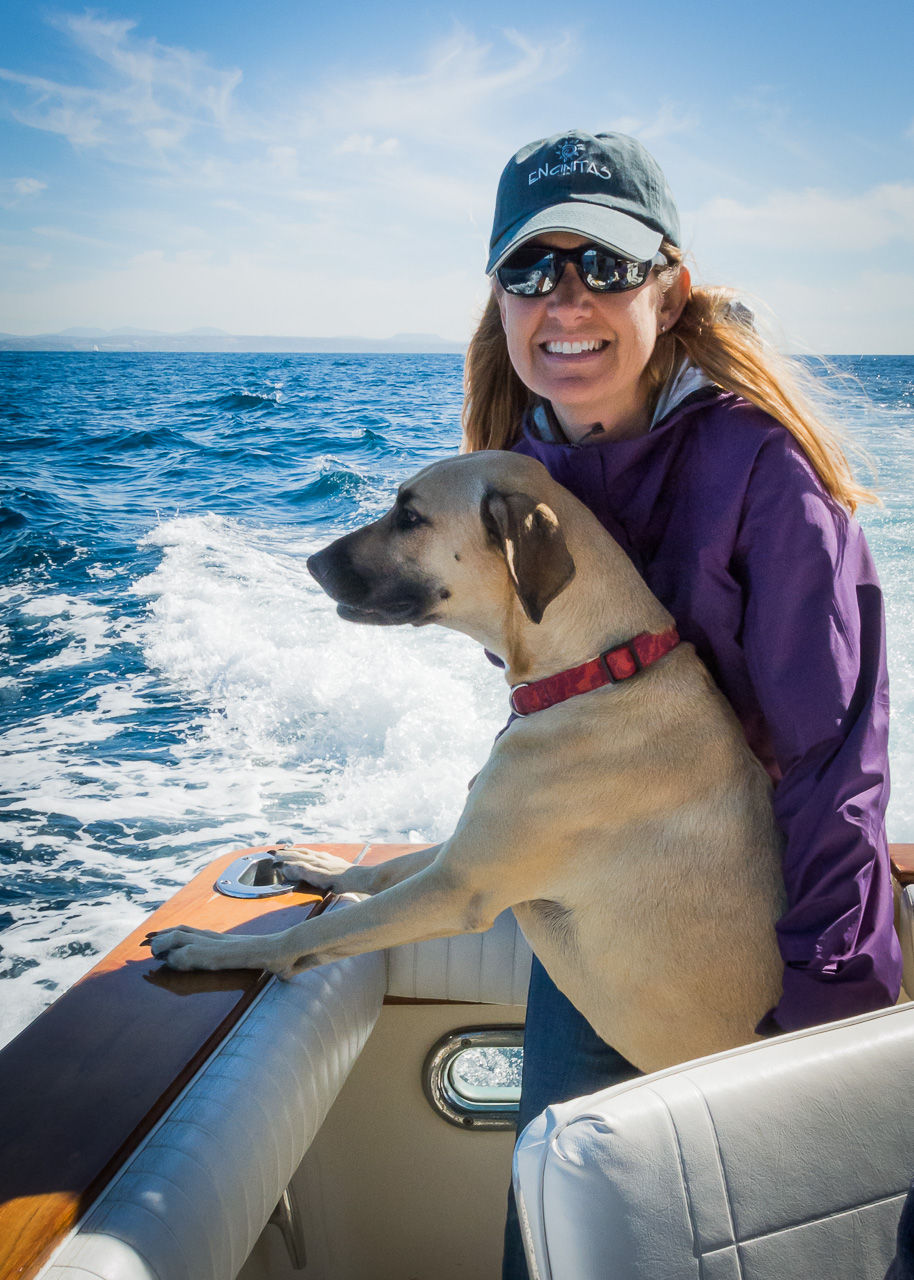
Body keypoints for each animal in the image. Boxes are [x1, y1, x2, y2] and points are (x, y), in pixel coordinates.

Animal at [151, 450, 785, 1073]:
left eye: (410, 516)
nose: (311, 561)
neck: (593, 671)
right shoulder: (462, 852)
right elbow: (376, 871)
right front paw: (322, 865)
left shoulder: (457, 887)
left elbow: (324, 929)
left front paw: (213, 948)